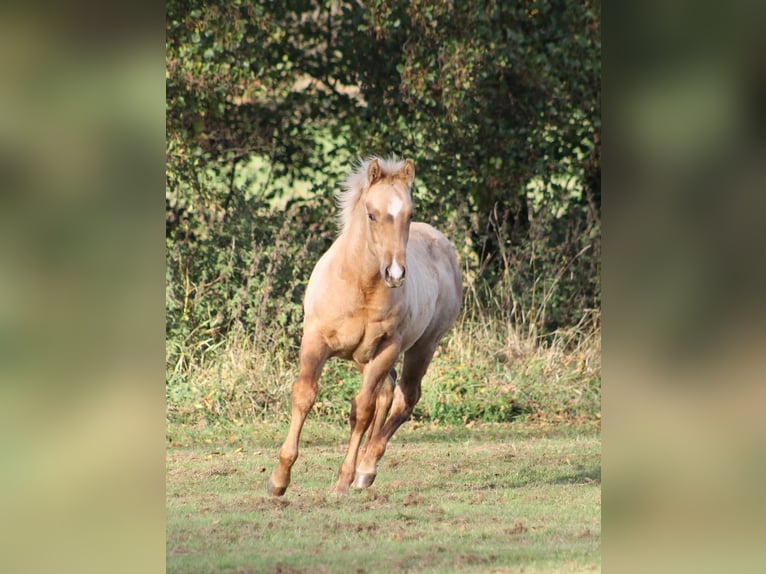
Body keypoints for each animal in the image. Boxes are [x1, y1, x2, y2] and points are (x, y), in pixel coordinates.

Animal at [267, 156, 462, 496]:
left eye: (410, 214)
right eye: (372, 214)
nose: (395, 273)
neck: (359, 285)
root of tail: (445, 247)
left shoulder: (386, 349)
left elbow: (361, 411)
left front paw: (344, 480)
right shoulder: (315, 341)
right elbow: (304, 395)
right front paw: (279, 480)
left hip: (421, 347)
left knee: (405, 398)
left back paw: (366, 469)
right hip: (363, 358)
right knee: (388, 391)